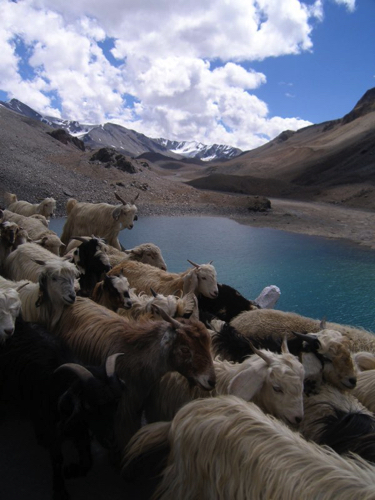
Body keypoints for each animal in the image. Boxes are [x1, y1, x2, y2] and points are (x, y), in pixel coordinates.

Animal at [0, 318, 124, 498]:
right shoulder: (52, 427)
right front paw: (60, 490)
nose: (111, 441)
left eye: (115, 403)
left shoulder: (80, 428)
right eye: (88, 405)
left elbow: (87, 460)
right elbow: (57, 458)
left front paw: (71, 471)